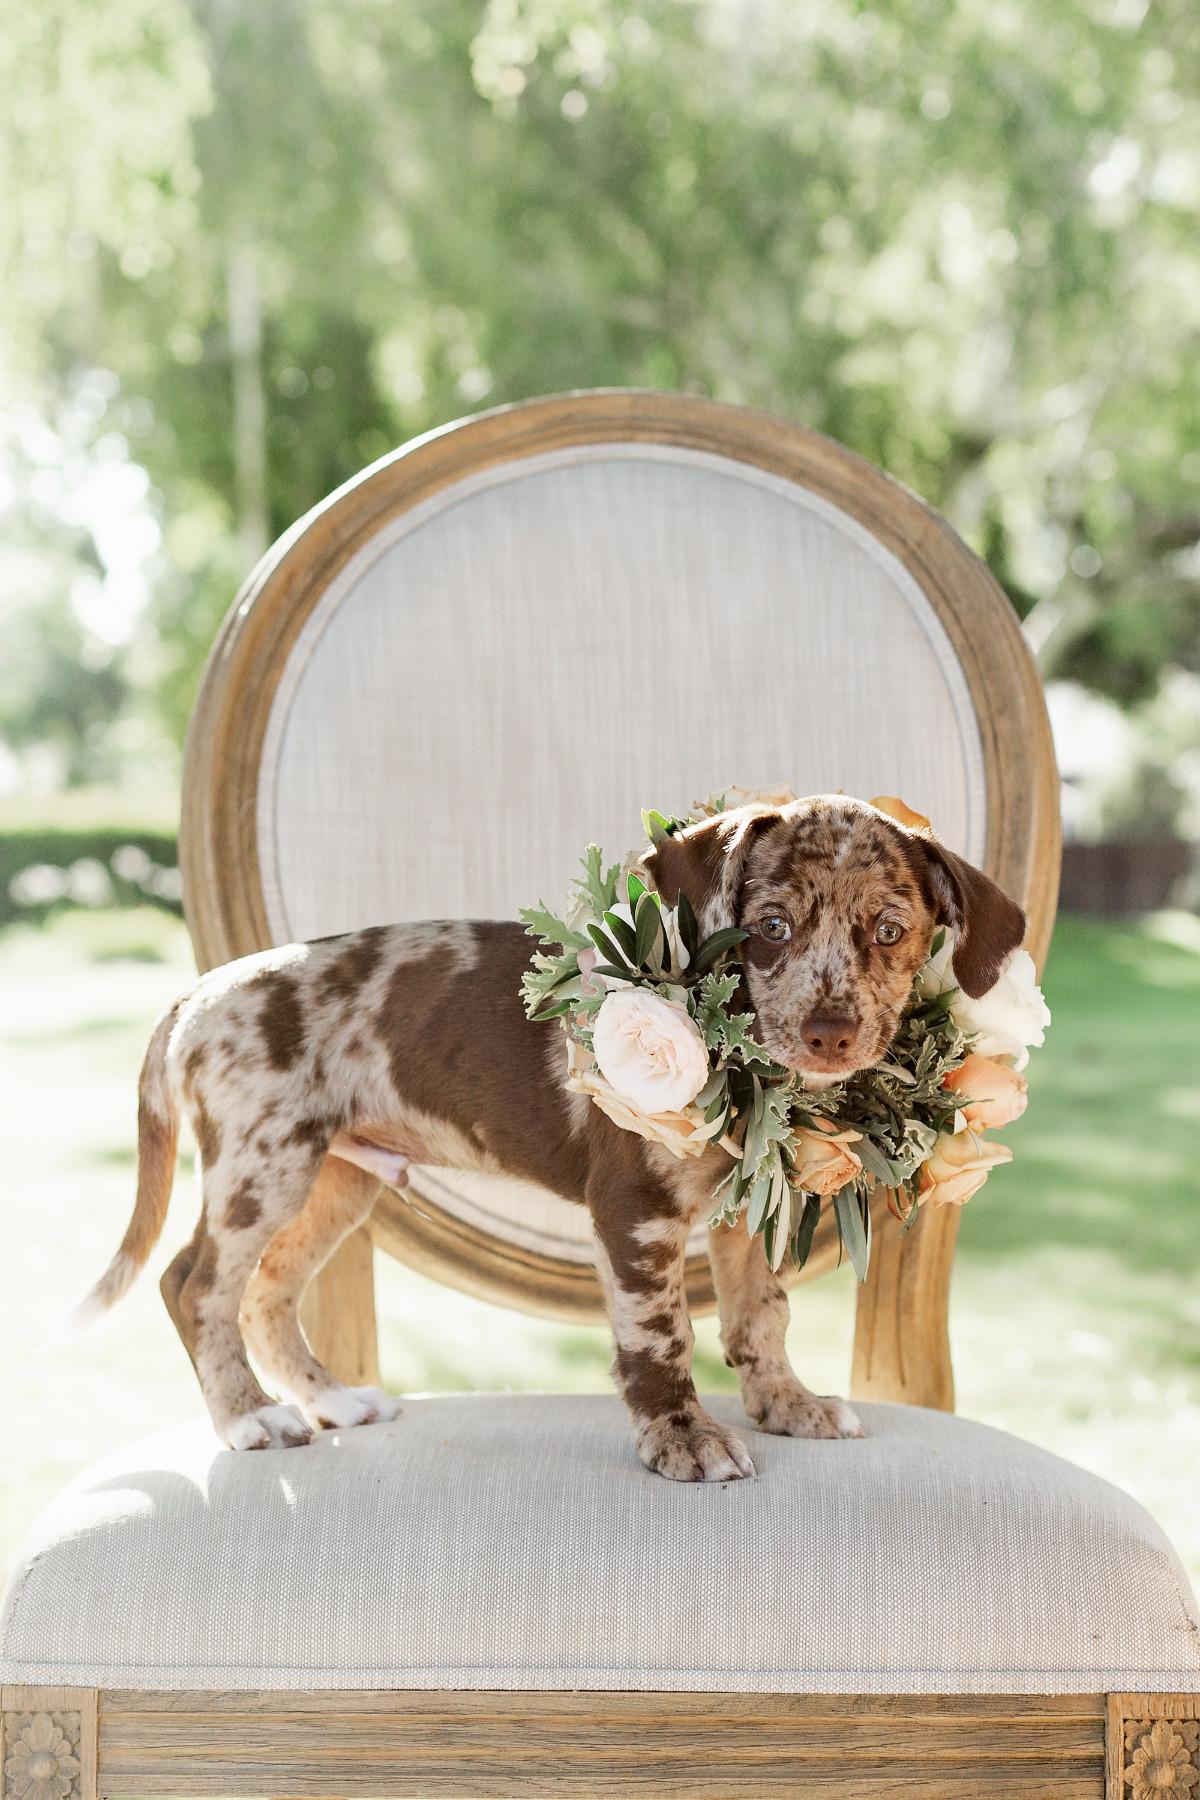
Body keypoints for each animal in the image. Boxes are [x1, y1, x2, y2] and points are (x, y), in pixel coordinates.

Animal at [72, 799, 1021, 1476]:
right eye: (771, 928)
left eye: (889, 931)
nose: (830, 1034)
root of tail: (200, 991)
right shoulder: (633, 1209)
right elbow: (660, 1335)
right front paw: (682, 1438)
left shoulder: (744, 1211)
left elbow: (762, 1317)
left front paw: (788, 1406)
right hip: (261, 1165)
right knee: (196, 1286)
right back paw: (248, 1418)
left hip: (339, 1179)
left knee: (266, 1294)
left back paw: (329, 1402)